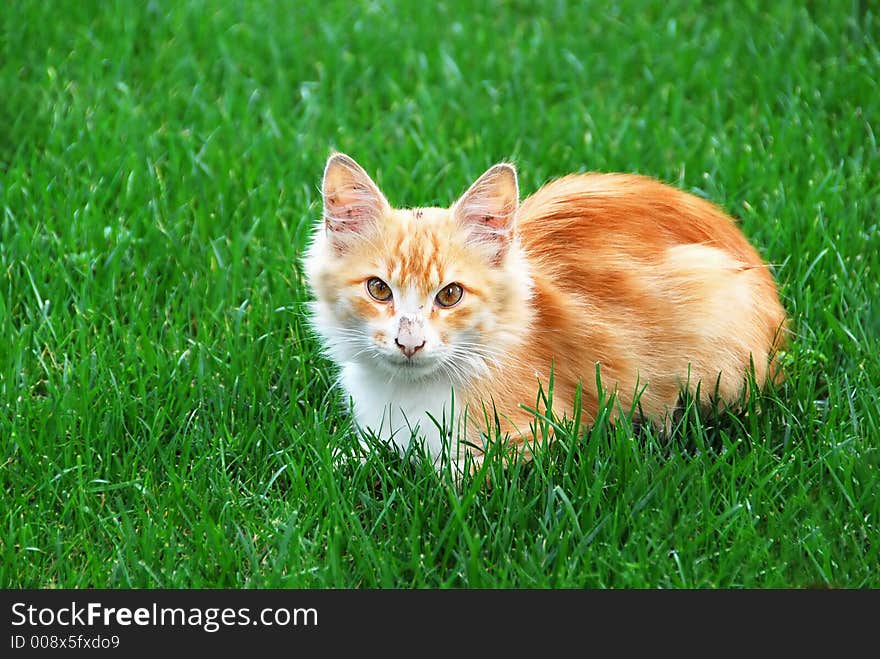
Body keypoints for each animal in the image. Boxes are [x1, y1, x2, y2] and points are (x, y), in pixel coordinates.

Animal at [304, 153, 792, 474]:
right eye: (378, 289)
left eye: (450, 295)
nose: (410, 342)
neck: (407, 395)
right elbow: (351, 456)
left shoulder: (548, 430)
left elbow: (451, 473)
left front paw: (424, 471)